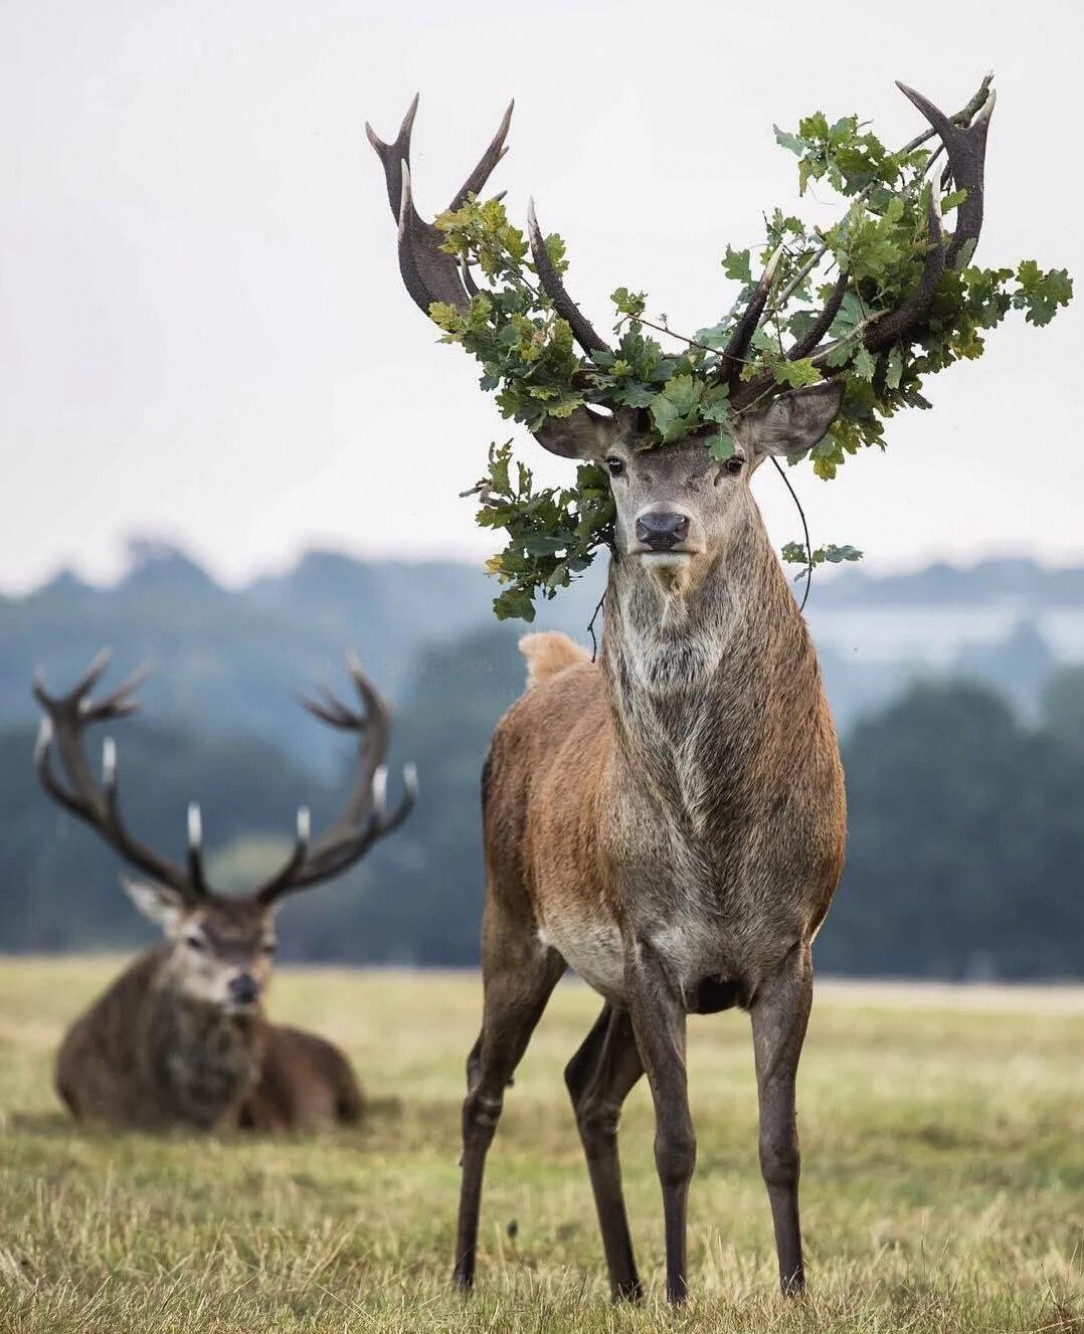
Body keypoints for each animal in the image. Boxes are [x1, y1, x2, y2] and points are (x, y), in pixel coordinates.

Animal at [370, 78, 992, 1296]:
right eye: (615, 463)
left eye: (734, 458)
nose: (660, 524)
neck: (714, 845)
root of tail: (544, 671)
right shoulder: (650, 944)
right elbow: (678, 1137)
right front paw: (677, 1286)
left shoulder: (791, 948)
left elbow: (777, 1141)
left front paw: (791, 1288)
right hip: (512, 911)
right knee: (483, 1079)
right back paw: (466, 1271)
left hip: (595, 969)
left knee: (582, 1084)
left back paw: (612, 1280)